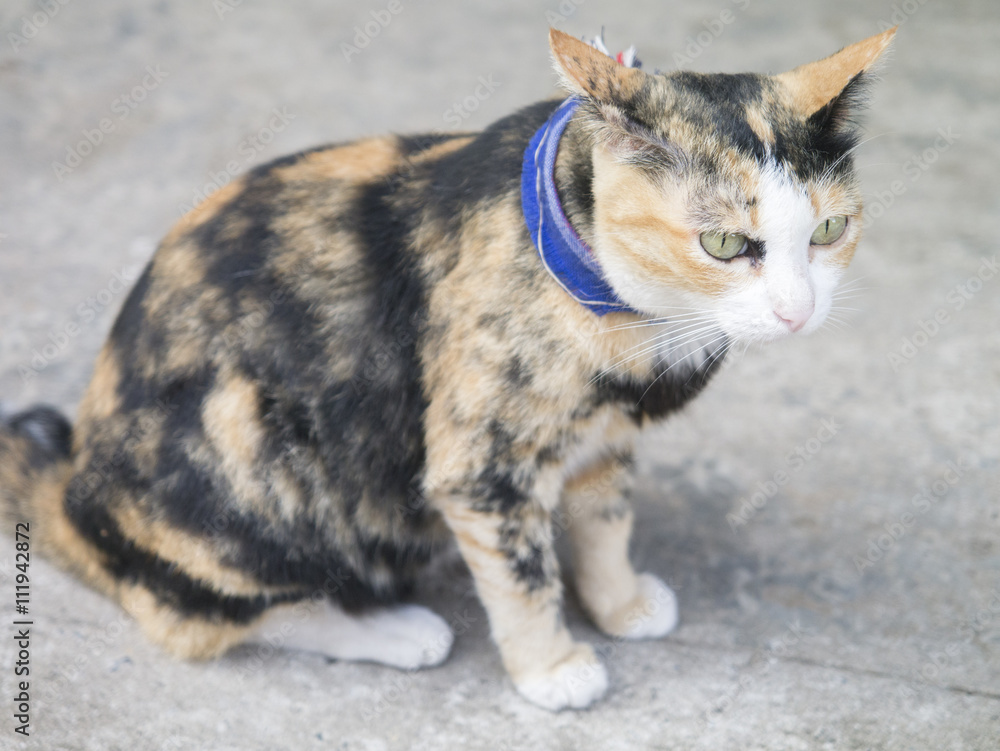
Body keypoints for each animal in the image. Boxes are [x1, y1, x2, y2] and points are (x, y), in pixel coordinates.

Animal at [0, 27, 892, 712]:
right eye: (724, 243)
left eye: (829, 231)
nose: (797, 310)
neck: (633, 323)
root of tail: (75, 486)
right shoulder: (483, 464)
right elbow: (524, 573)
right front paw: (553, 669)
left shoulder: (602, 436)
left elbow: (605, 521)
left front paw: (620, 602)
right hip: (240, 437)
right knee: (197, 614)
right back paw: (396, 628)